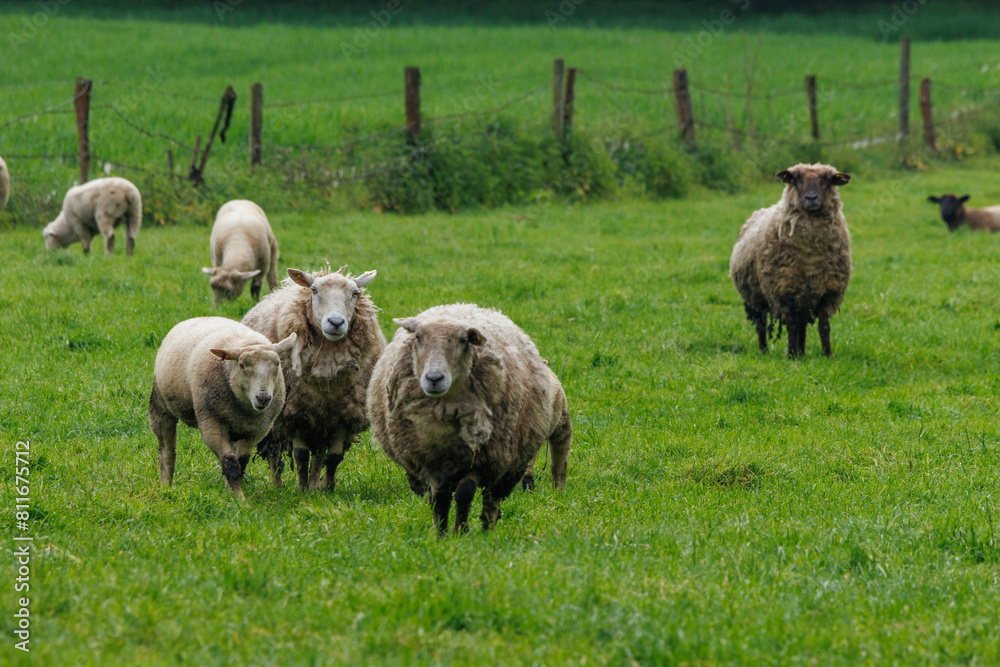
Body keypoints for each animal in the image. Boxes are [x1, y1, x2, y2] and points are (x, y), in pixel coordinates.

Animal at [149, 316, 296, 499]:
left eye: (277, 364)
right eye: (241, 365)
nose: (263, 398)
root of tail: (197, 318)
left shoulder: (258, 429)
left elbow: (241, 462)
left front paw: (233, 493)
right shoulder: (211, 423)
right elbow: (230, 462)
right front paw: (239, 498)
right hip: (161, 405)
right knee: (167, 450)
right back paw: (165, 486)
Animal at [241, 265, 385, 491]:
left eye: (355, 293)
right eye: (314, 290)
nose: (335, 322)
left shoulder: (343, 415)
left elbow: (333, 457)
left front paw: (326, 489)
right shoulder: (295, 411)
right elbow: (301, 455)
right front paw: (301, 490)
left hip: (322, 422)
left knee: (319, 455)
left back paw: (316, 485)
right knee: (274, 452)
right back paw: (278, 486)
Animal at [367, 303, 573, 535]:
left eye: (462, 340)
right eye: (418, 338)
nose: (434, 378)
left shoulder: (478, 459)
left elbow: (465, 495)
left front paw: (461, 532)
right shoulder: (433, 460)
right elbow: (440, 500)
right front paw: (441, 534)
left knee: (496, 496)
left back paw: (488, 530)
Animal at [729, 163, 852, 358]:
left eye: (827, 179)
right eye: (796, 179)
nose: (811, 198)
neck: (810, 255)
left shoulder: (828, 292)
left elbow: (824, 326)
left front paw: (827, 355)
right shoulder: (784, 290)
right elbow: (792, 326)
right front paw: (790, 356)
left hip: (804, 297)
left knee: (802, 325)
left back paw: (801, 352)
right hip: (757, 297)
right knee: (762, 325)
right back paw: (764, 351)